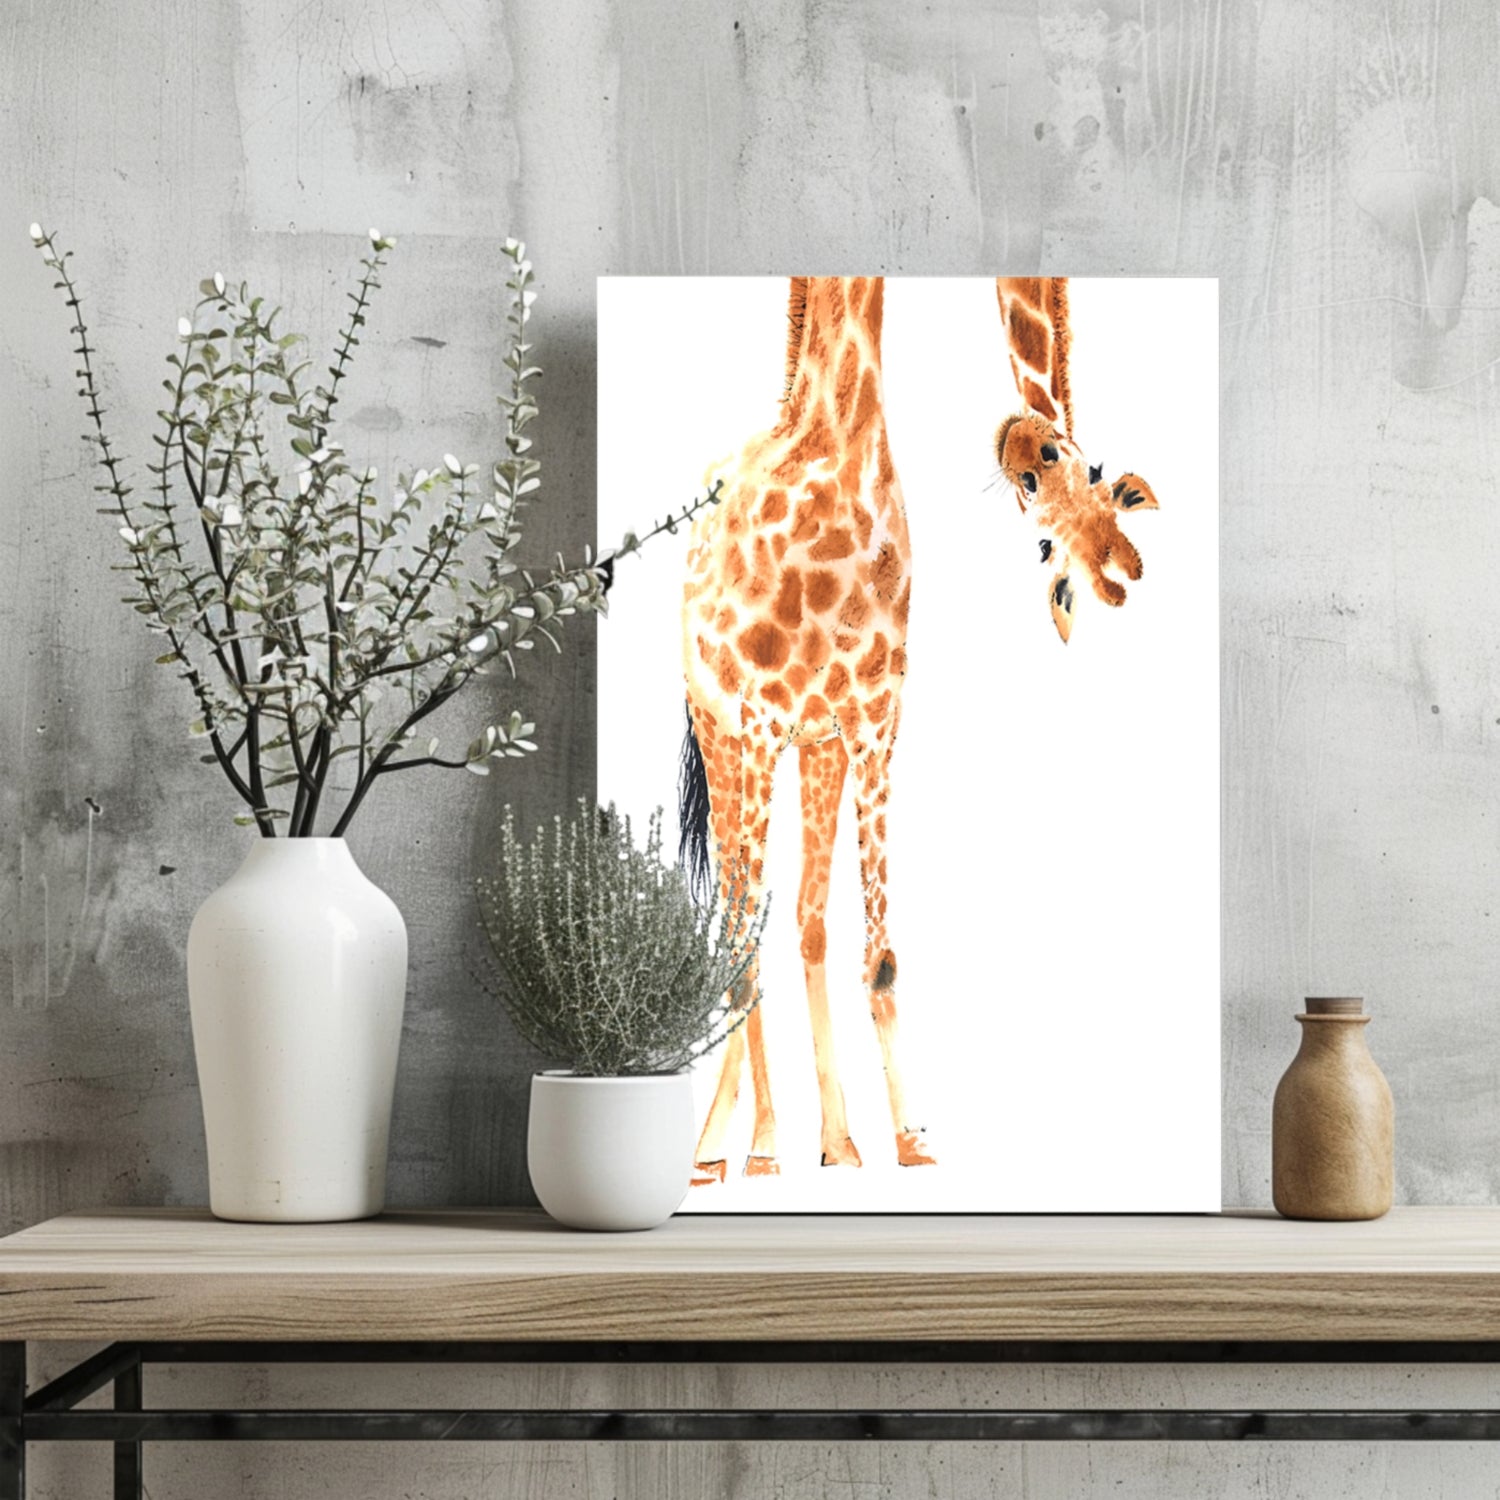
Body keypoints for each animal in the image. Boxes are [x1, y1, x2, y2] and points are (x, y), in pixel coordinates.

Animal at [678, 276, 935, 1182]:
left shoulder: (871, 727)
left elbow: (879, 955)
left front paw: (906, 1139)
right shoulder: (758, 726)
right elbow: (743, 939)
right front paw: (755, 1148)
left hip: (811, 751)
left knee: (801, 918)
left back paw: (830, 1137)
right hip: (722, 743)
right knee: (735, 921)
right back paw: (727, 1146)